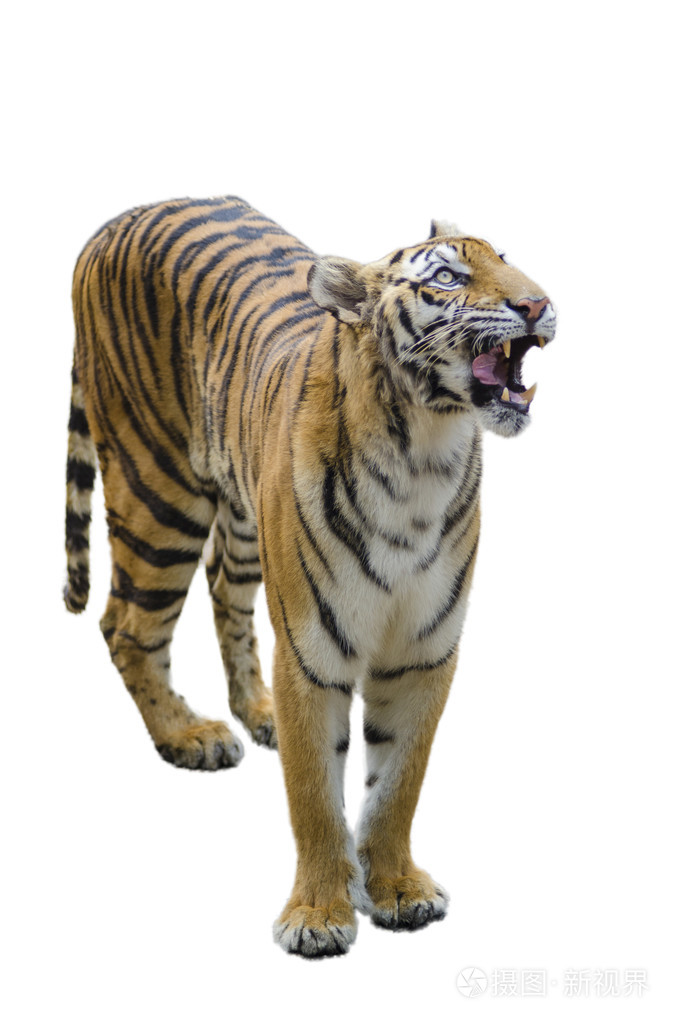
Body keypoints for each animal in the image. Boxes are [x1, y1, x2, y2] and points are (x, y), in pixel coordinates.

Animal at [64, 196, 556, 958]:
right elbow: (315, 794)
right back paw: (188, 736)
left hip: (240, 521)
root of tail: (115, 221)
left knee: (222, 590)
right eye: (446, 276)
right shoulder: (312, 651)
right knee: (126, 624)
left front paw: (399, 889)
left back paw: (256, 712)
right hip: (158, 492)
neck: (425, 454)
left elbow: (398, 783)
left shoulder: (424, 650)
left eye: (508, 260)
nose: (537, 303)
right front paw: (319, 915)